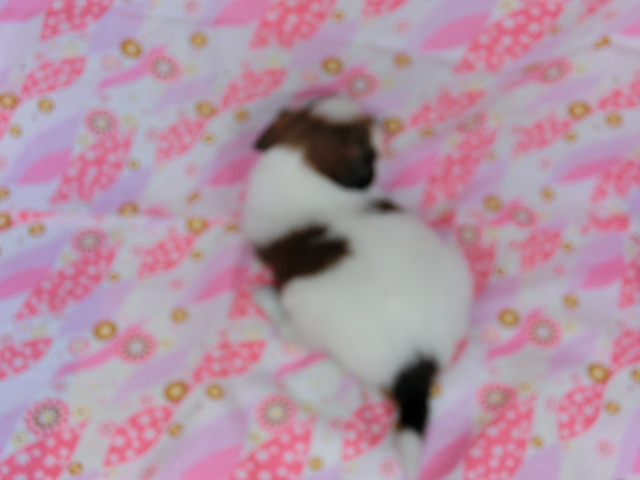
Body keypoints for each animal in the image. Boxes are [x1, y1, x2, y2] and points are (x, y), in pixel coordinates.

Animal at [242, 96, 472, 477]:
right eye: (367, 146)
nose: (381, 124)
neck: (301, 162)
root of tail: (417, 358)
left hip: (302, 301)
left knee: (297, 335)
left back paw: (265, 298)